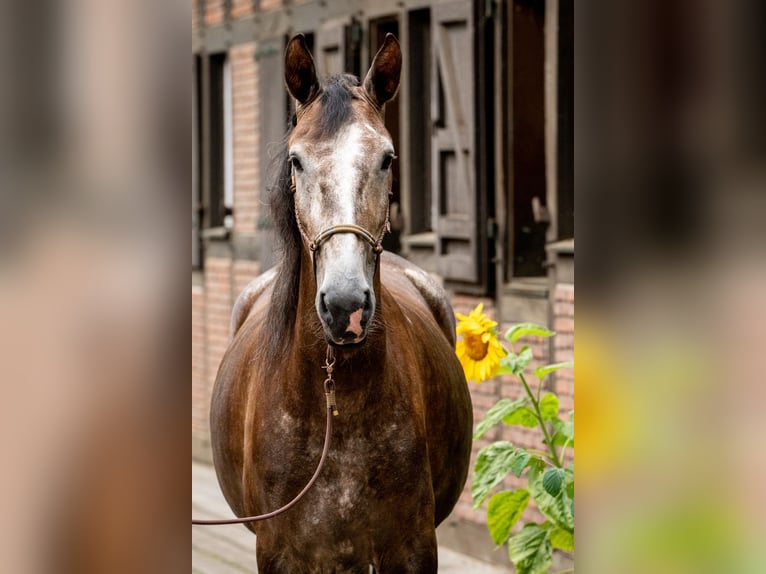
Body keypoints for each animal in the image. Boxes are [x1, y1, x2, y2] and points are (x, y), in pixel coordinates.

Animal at [210, 33, 474, 572]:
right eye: (297, 160)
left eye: (387, 158)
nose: (345, 305)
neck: (338, 402)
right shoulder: (280, 553)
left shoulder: (412, 550)